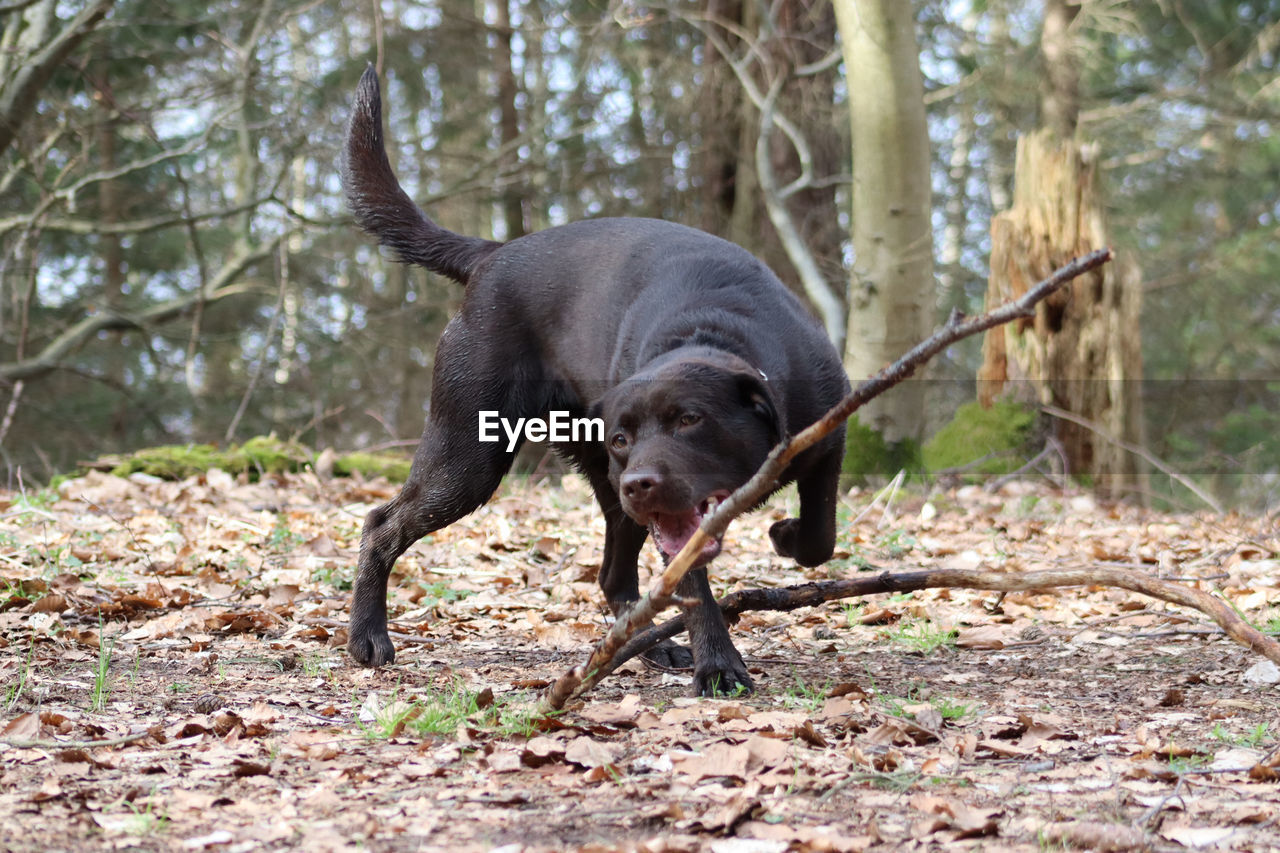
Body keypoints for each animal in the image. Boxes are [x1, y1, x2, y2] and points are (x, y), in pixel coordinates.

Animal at [340, 64, 849, 691]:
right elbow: (694, 588)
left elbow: (820, 537)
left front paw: (786, 536)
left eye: (691, 420)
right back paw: (368, 636)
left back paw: (645, 642)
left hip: (587, 483)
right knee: (381, 523)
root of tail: (492, 255)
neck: (714, 331)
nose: (641, 482)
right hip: (472, 455)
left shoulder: (827, 443)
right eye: (625, 435)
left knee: (612, 573)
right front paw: (719, 666)